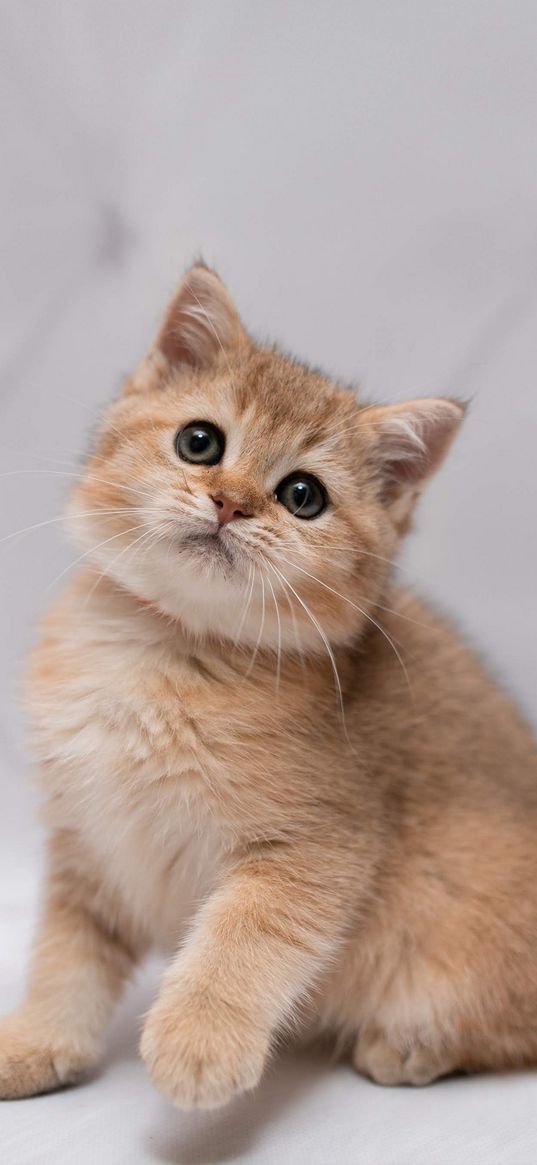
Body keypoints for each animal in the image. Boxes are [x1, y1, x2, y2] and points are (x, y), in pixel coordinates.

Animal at [1, 266, 535, 1109]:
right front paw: (38, 1042)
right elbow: (65, 955)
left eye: (302, 495)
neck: (165, 654)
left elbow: (244, 937)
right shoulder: (90, 843)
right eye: (199, 442)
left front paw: (198, 1039)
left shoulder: (318, 844)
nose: (230, 501)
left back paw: (410, 1046)